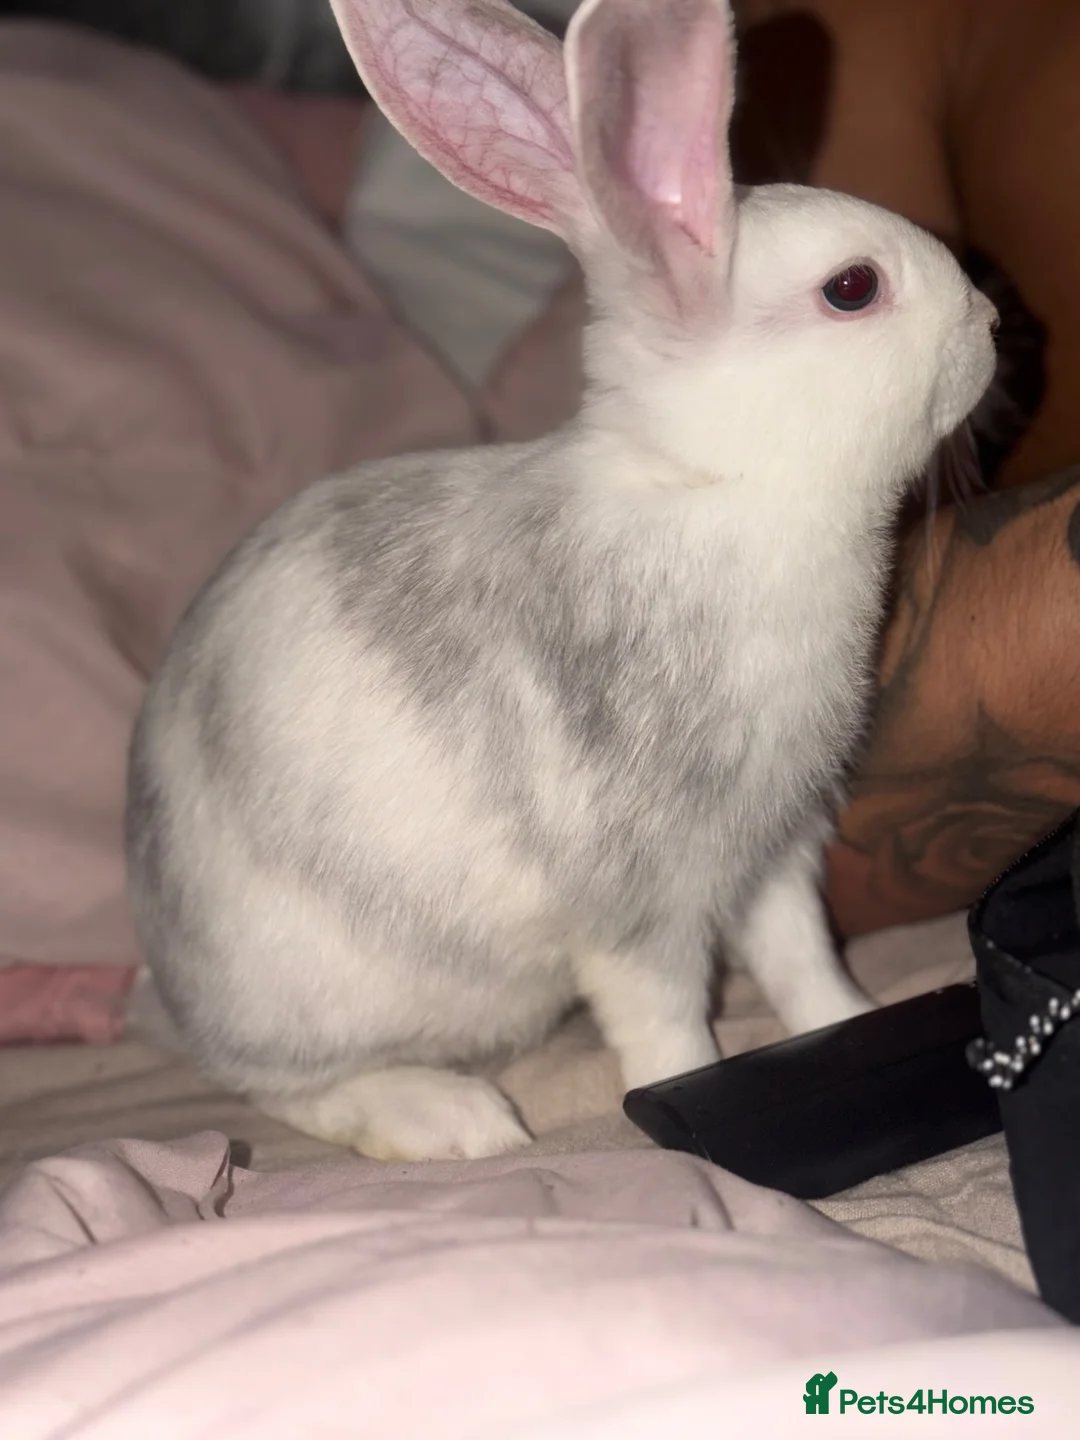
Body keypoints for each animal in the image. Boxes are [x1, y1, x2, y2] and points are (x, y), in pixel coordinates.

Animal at [124, 0, 998, 1162]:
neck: (714, 485)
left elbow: (803, 959)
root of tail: (167, 980)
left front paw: (857, 1022)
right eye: (853, 289)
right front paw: (686, 1100)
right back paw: (452, 1119)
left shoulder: (771, 847)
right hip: (312, 997)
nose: (992, 321)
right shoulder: (641, 903)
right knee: (280, 1087)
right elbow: (664, 1019)